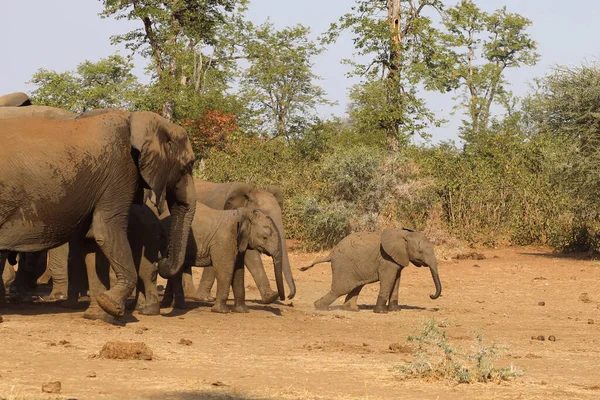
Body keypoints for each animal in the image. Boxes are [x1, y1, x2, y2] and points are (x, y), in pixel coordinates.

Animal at [0, 111, 197, 318]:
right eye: (188, 165)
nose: (162, 261)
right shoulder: (120, 171)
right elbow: (107, 231)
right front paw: (111, 305)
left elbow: (92, 240)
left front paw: (97, 314)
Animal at [300, 228, 440, 312]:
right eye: (420, 252)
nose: (431, 295)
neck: (404, 234)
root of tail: (331, 253)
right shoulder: (386, 260)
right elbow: (388, 280)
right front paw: (381, 312)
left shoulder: (397, 260)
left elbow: (396, 281)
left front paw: (395, 310)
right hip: (343, 266)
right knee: (341, 289)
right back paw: (319, 307)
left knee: (356, 286)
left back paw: (352, 309)